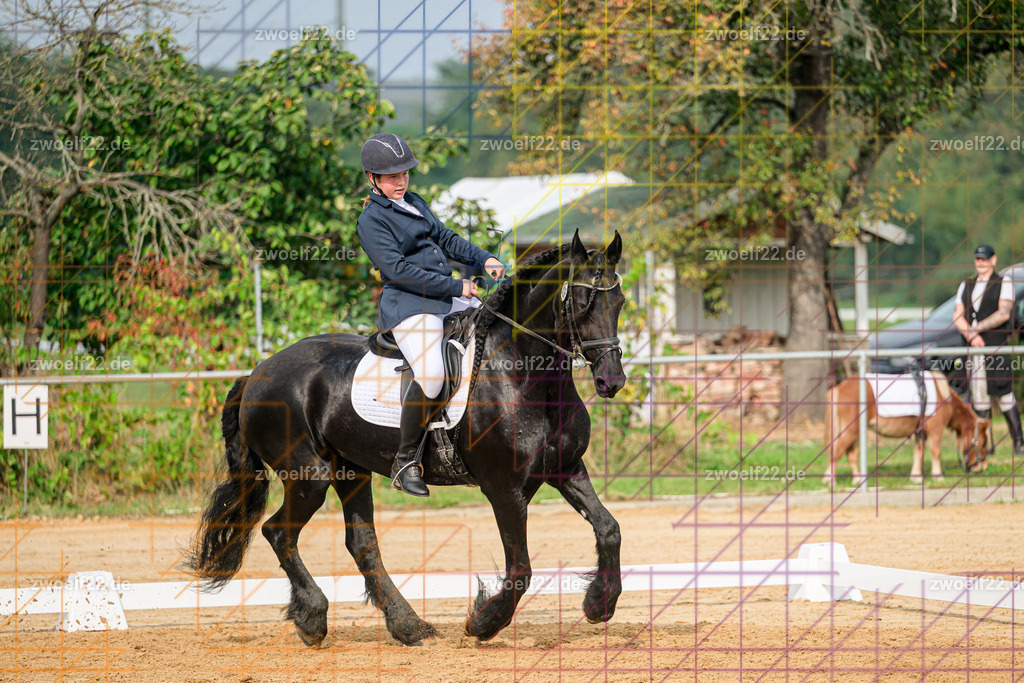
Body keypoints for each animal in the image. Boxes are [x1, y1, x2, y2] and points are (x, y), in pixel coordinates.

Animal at [183, 229, 627, 647]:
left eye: (619, 302)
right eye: (583, 301)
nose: (612, 380)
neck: (520, 372)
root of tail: (257, 372)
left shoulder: (567, 469)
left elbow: (609, 528)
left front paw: (599, 604)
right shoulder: (504, 488)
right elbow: (521, 570)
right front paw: (482, 624)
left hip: (350, 470)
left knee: (361, 543)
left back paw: (407, 626)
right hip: (309, 476)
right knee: (280, 533)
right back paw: (313, 618)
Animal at [822, 370, 990, 487]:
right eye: (983, 443)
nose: (983, 467)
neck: (941, 394)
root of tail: (839, 387)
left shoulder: (921, 432)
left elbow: (919, 452)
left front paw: (915, 477)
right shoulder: (936, 430)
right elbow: (936, 451)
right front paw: (938, 476)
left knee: (850, 453)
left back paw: (857, 480)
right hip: (850, 430)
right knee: (837, 451)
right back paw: (830, 480)